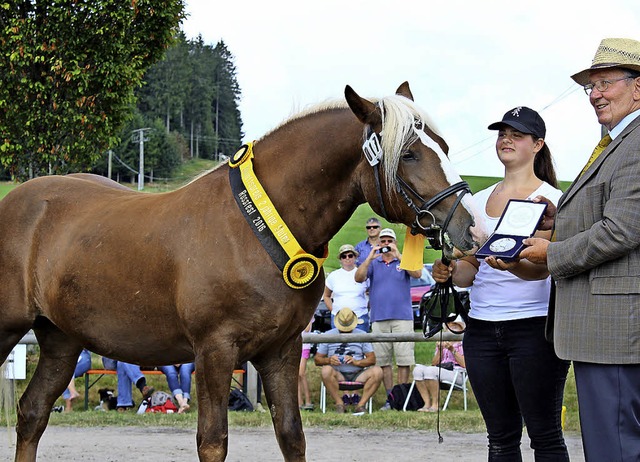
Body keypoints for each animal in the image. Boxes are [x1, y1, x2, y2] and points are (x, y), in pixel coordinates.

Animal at [0, 81, 480, 460]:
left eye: (444, 147)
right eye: (411, 154)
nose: (470, 225)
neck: (255, 228)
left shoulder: (281, 350)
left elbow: (291, 436)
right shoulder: (214, 350)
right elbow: (213, 441)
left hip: (62, 340)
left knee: (32, 413)